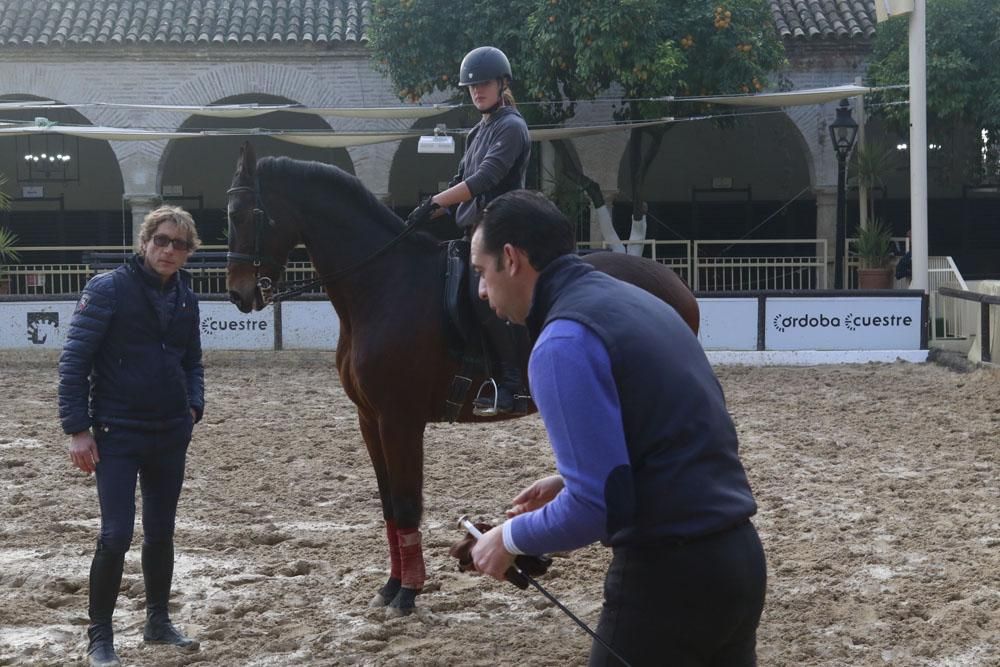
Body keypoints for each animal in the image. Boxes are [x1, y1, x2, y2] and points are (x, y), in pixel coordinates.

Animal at [224, 141, 700, 616]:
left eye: (245, 214)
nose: (238, 294)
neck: (384, 285)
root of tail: (673, 282)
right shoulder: (370, 420)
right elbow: (389, 508)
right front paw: (390, 586)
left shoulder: (400, 420)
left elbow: (407, 504)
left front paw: (408, 592)